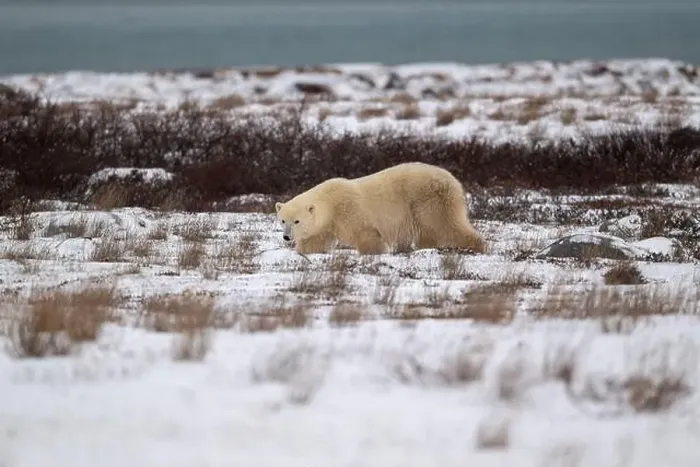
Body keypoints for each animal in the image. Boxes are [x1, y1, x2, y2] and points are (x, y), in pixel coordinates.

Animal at [274, 162, 487, 255]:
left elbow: (365, 233)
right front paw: (304, 251)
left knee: (445, 224)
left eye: (297, 221)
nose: (286, 237)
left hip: (429, 200)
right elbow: (316, 239)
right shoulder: (327, 224)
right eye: (283, 220)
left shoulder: (349, 209)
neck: (331, 201)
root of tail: (454, 181)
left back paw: (475, 245)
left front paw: (375, 251)